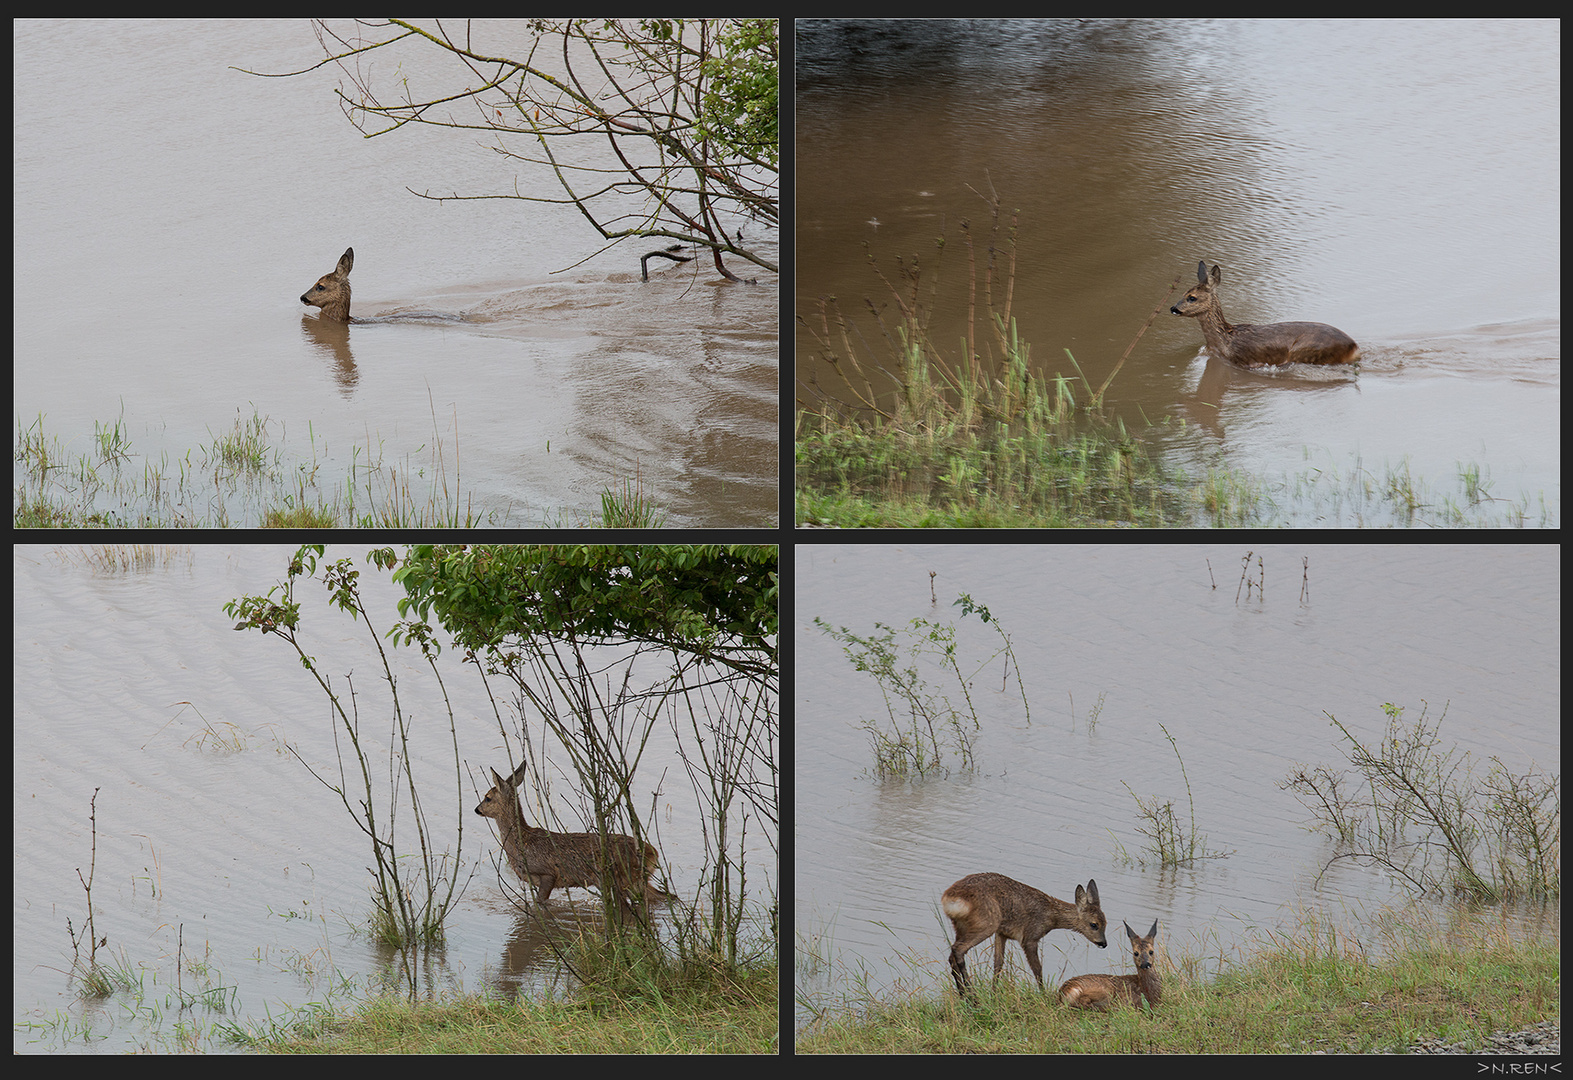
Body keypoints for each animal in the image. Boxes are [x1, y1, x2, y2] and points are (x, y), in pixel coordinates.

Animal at [471, 760, 670, 918]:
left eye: (487, 798)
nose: (476, 809)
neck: (522, 843)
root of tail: (653, 852)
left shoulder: (547, 874)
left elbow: (540, 904)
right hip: (636, 881)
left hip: (618, 878)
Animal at [937, 880, 1113, 999]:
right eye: (1094, 924)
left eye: (1106, 922)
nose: (1103, 943)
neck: (1050, 916)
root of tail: (951, 899)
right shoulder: (1029, 937)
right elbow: (1037, 969)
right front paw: (1043, 996)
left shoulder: (1002, 933)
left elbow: (998, 964)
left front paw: (994, 994)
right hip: (986, 924)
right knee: (958, 950)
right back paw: (972, 997)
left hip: (962, 926)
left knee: (952, 955)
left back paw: (964, 995)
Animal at [1170, 262, 1365, 367]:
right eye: (1182, 293)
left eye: (1192, 298)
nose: (1173, 308)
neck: (1226, 342)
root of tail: (1354, 347)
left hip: (1306, 352)